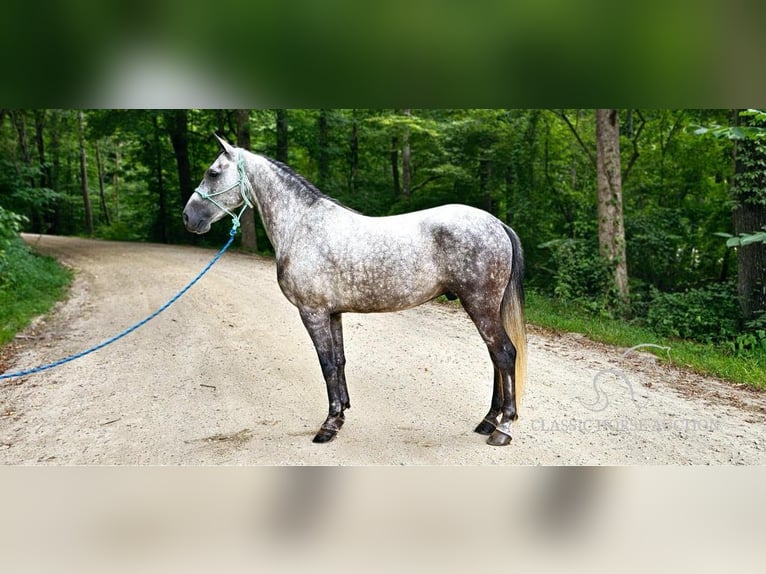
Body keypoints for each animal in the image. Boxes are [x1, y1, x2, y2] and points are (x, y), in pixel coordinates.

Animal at [184, 136, 528, 450]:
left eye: (213, 172)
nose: (189, 217)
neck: (301, 225)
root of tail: (497, 224)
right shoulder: (333, 313)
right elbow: (339, 361)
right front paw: (341, 415)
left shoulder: (313, 313)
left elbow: (326, 364)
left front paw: (328, 426)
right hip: (486, 308)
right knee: (495, 358)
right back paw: (488, 421)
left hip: (480, 306)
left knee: (504, 354)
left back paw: (503, 428)